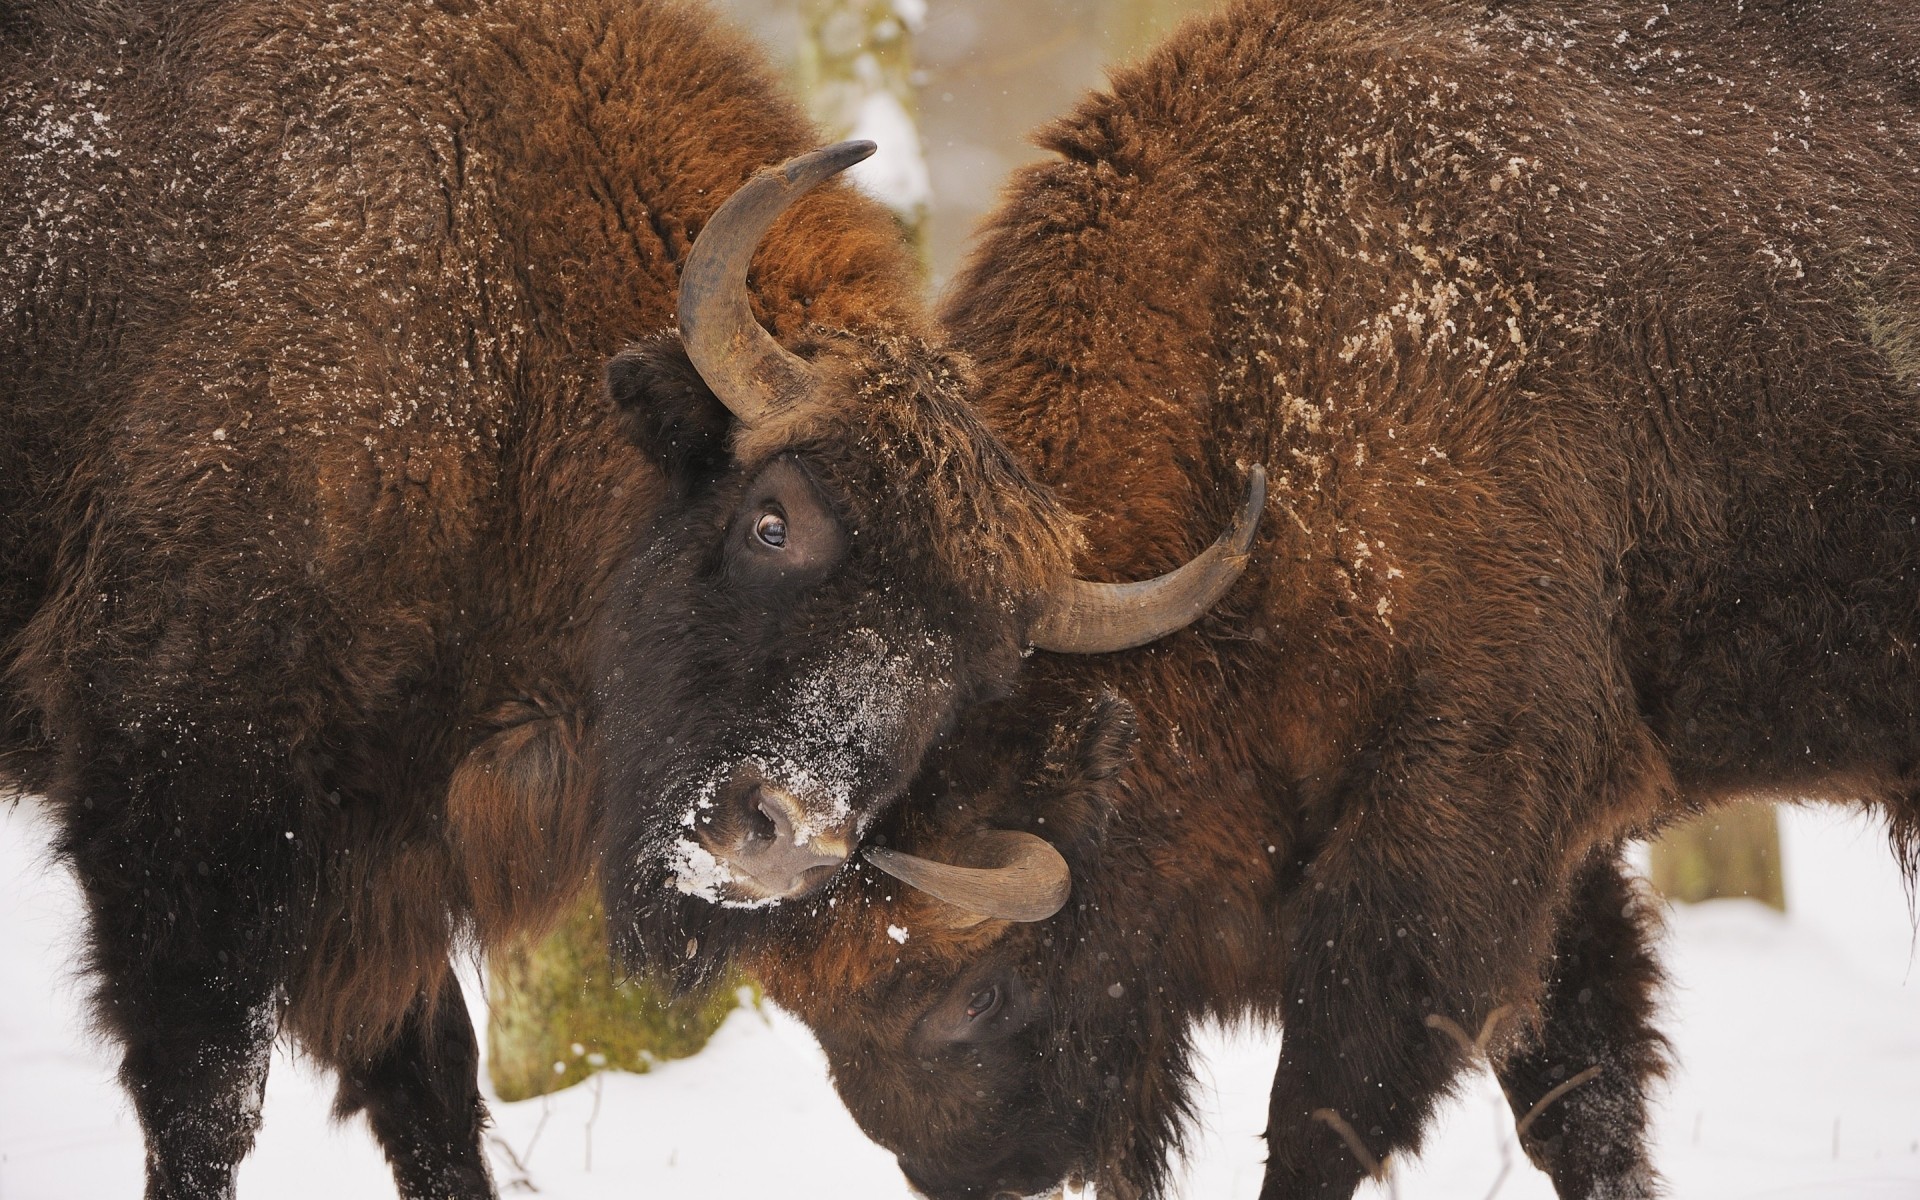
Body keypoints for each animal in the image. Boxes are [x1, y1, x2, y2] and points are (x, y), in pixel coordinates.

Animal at [0, 2, 1244, 1198]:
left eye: (974, 670)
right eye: (771, 520)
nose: (785, 842)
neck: (494, 335)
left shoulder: (389, 864)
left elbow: (432, 1090)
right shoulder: (183, 811)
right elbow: (211, 1100)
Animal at [733, 0, 1920, 1190]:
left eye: (978, 991)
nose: (983, 1172)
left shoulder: (1455, 801)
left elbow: (1332, 1100)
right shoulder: (1558, 849)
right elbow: (1576, 1092)